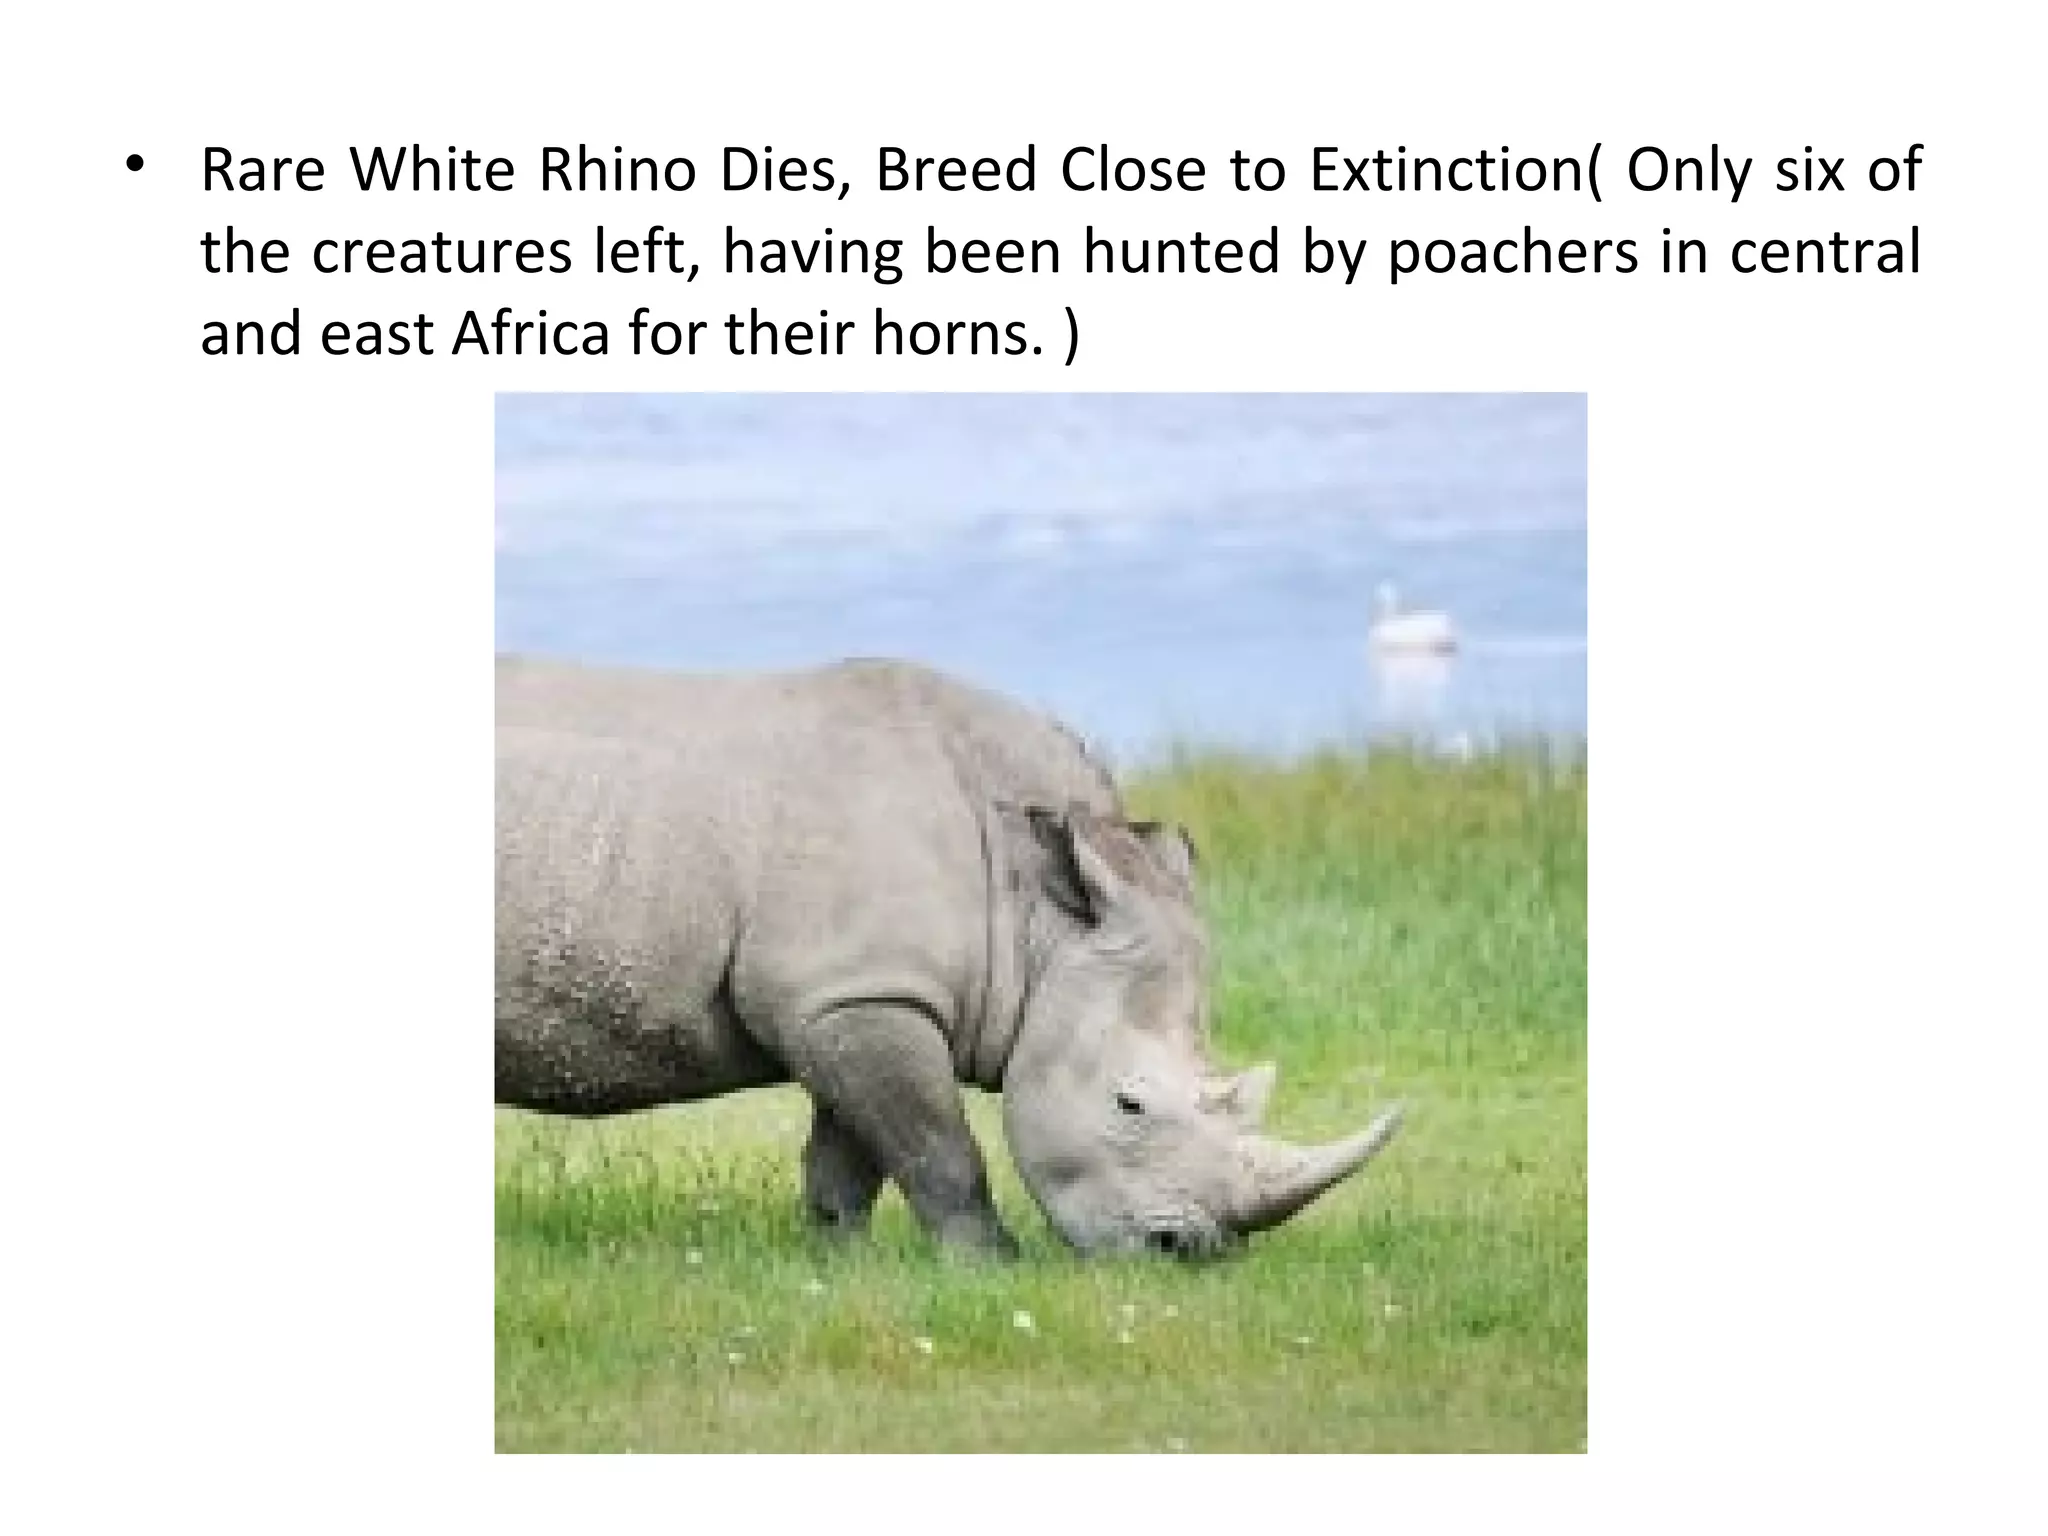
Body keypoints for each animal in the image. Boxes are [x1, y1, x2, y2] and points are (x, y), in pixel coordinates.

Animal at [496, 655, 1403, 1257]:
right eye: (1129, 1105)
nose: (1193, 1254)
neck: (1036, 914)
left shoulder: (853, 994)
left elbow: (851, 1154)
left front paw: (839, 1262)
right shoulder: (861, 994)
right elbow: (938, 1147)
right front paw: (990, 1265)